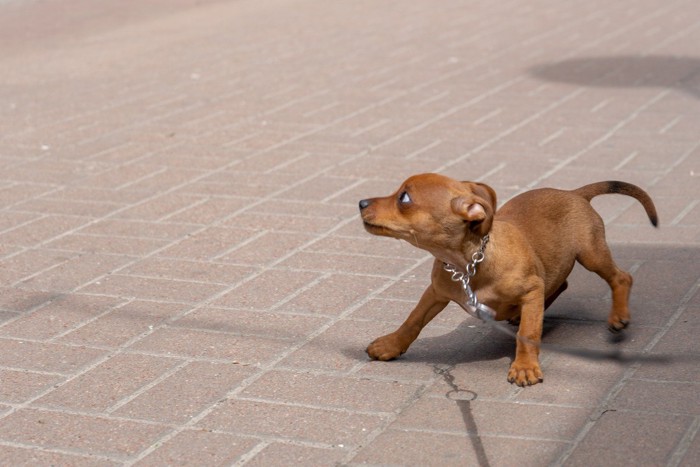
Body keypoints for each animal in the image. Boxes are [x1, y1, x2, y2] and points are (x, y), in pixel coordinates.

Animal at [358, 174, 660, 386]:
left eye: (404, 198)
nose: (360, 202)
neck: (468, 265)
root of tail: (575, 193)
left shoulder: (531, 290)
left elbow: (528, 333)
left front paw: (525, 367)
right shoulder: (436, 292)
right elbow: (413, 320)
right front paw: (391, 345)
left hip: (591, 254)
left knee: (621, 277)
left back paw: (618, 316)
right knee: (559, 284)